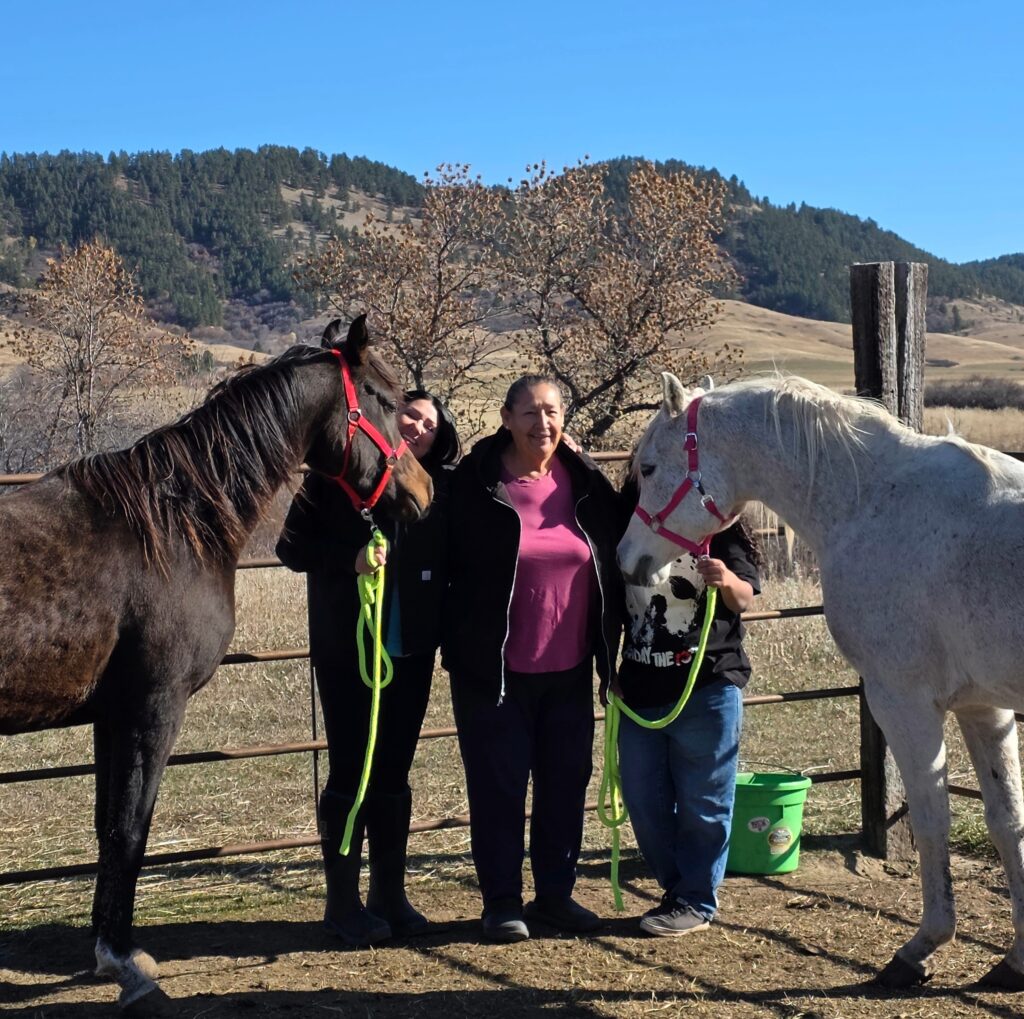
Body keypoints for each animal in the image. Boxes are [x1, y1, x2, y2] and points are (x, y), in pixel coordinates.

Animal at [0, 316, 433, 1010]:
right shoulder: (152, 709)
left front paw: (109, 950)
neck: (172, 524)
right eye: (387, 402)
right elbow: (130, 831)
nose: (425, 490)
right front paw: (124, 962)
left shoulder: (111, 717)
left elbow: (106, 828)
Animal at [617, 371, 1024, 990]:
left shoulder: (903, 702)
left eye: (647, 468)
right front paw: (1016, 959)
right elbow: (1007, 823)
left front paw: (920, 949)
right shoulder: (986, 708)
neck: (872, 502)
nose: (626, 559)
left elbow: (934, 821)